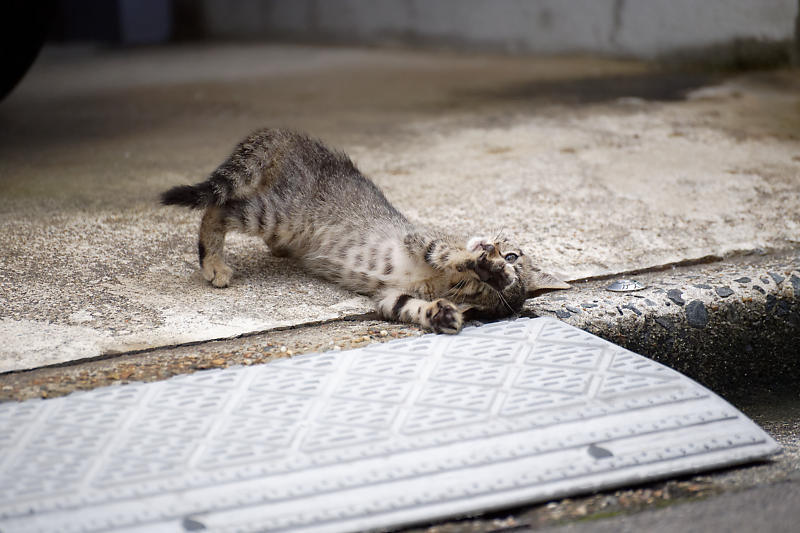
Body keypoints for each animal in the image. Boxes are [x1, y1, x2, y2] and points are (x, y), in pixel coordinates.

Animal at [161, 128, 568, 332]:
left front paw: (442, 315)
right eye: (511, 253)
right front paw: (485, 265)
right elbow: (452, 252)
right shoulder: (422, 240)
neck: (437, 282)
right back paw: (214, 264)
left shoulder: (388, 297)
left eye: (476, 293)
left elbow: (406, 306)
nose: (494, 250)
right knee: (217, 209)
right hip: (278, 214)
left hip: (276, 218)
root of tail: (292, 139)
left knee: (221, 209)